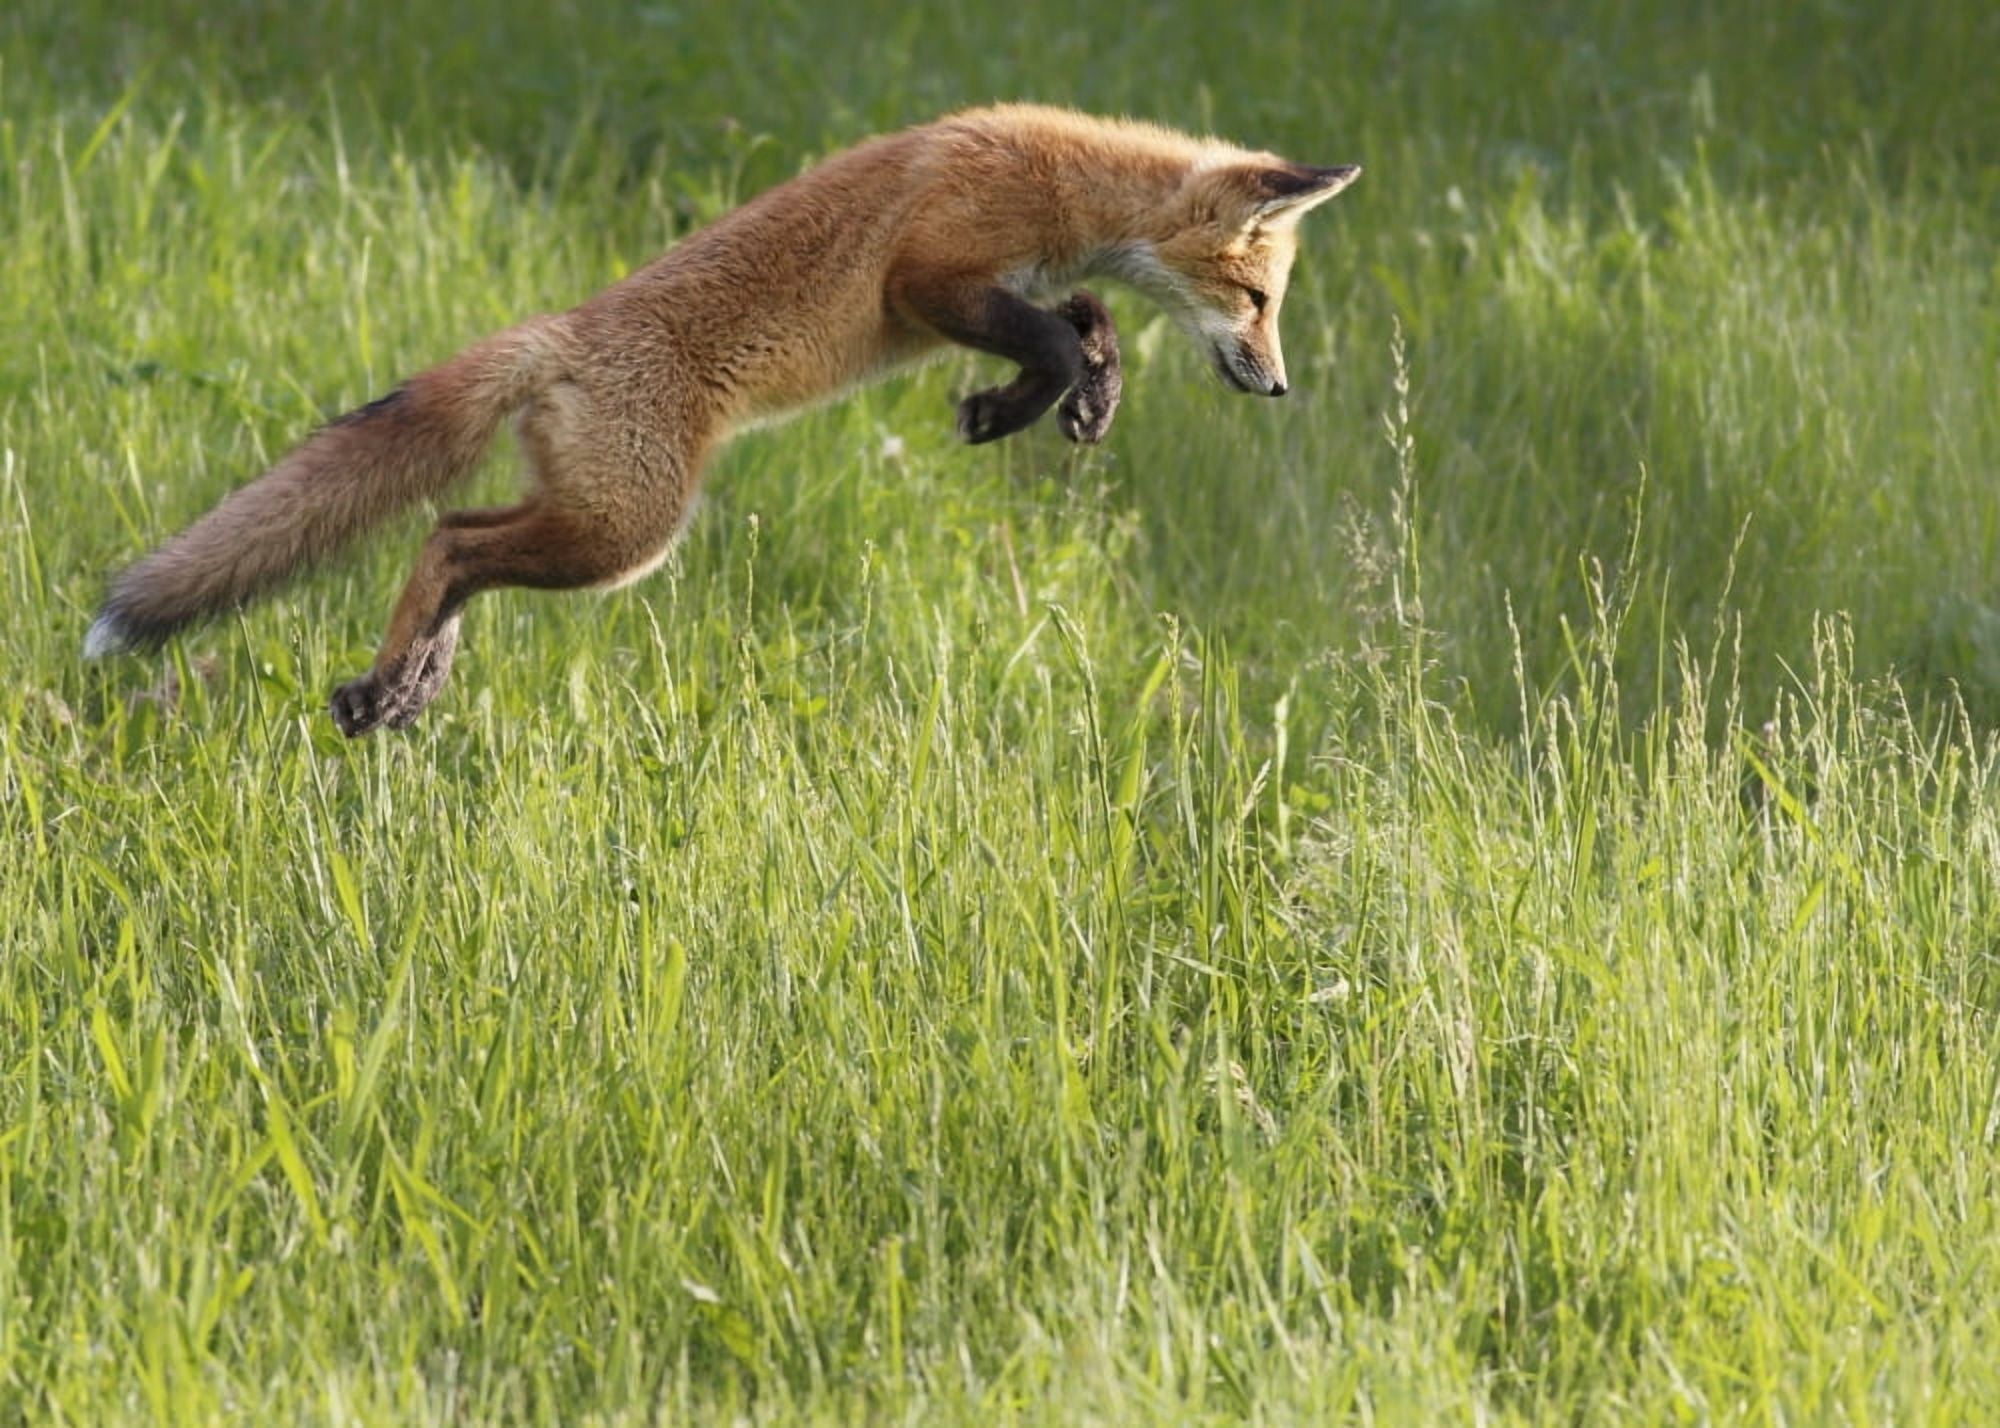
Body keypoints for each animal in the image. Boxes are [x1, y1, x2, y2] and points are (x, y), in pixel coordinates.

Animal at [85, 104, 1359, 735]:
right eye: (1258, 300)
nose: (1280, 387)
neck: (1062, 181)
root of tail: (554, 333)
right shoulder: (927, 277)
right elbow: (1050, 335)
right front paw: (1014, 407)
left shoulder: (997, 287)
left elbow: (1085, 322)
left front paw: (1081, 399)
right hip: (626, 536)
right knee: (448, 541)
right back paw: (395, 680)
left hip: (590, 516)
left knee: (455, 540)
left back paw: (403, 686)